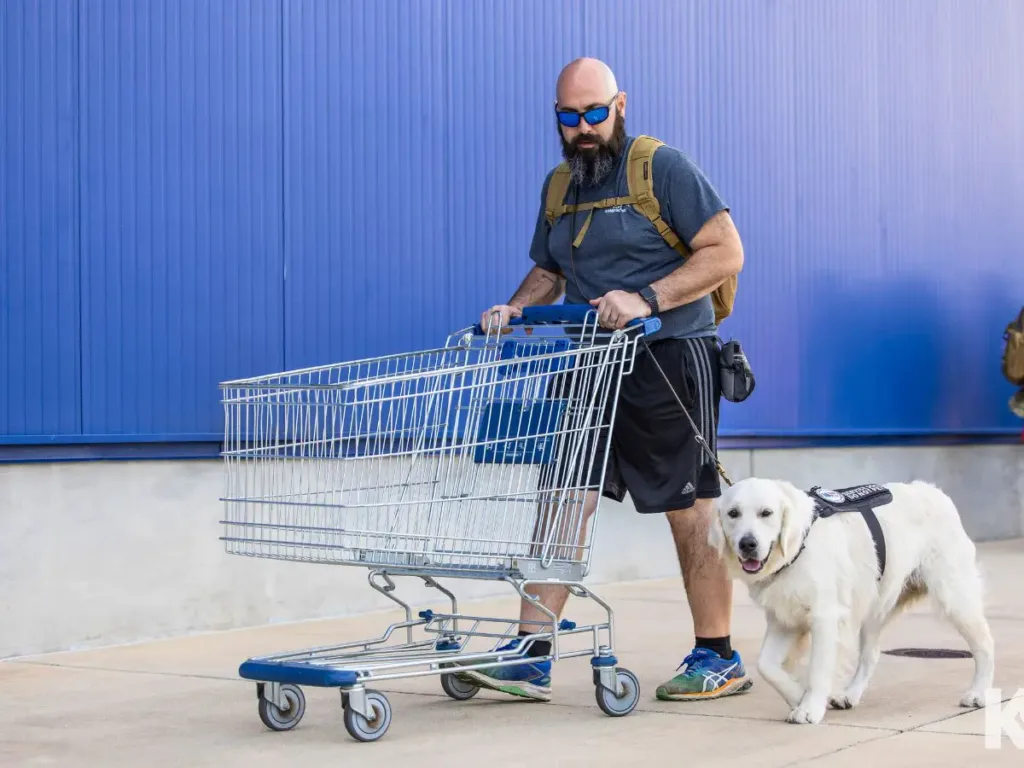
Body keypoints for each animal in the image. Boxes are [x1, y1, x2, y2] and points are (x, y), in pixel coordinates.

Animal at [712, 479, 991, 724]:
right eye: (733, 513)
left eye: (766, 513)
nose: (748, 544)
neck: (798, 547)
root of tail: (935, 492)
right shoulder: (784, 620)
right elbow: (765, 666)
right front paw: (798, 696)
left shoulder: (825, 618)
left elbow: (818, 670)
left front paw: (809, 708)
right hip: (874, 607)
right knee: (871, 656)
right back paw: (850, 694)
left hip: (955, 597)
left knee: (985, 644)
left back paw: (979, 693)